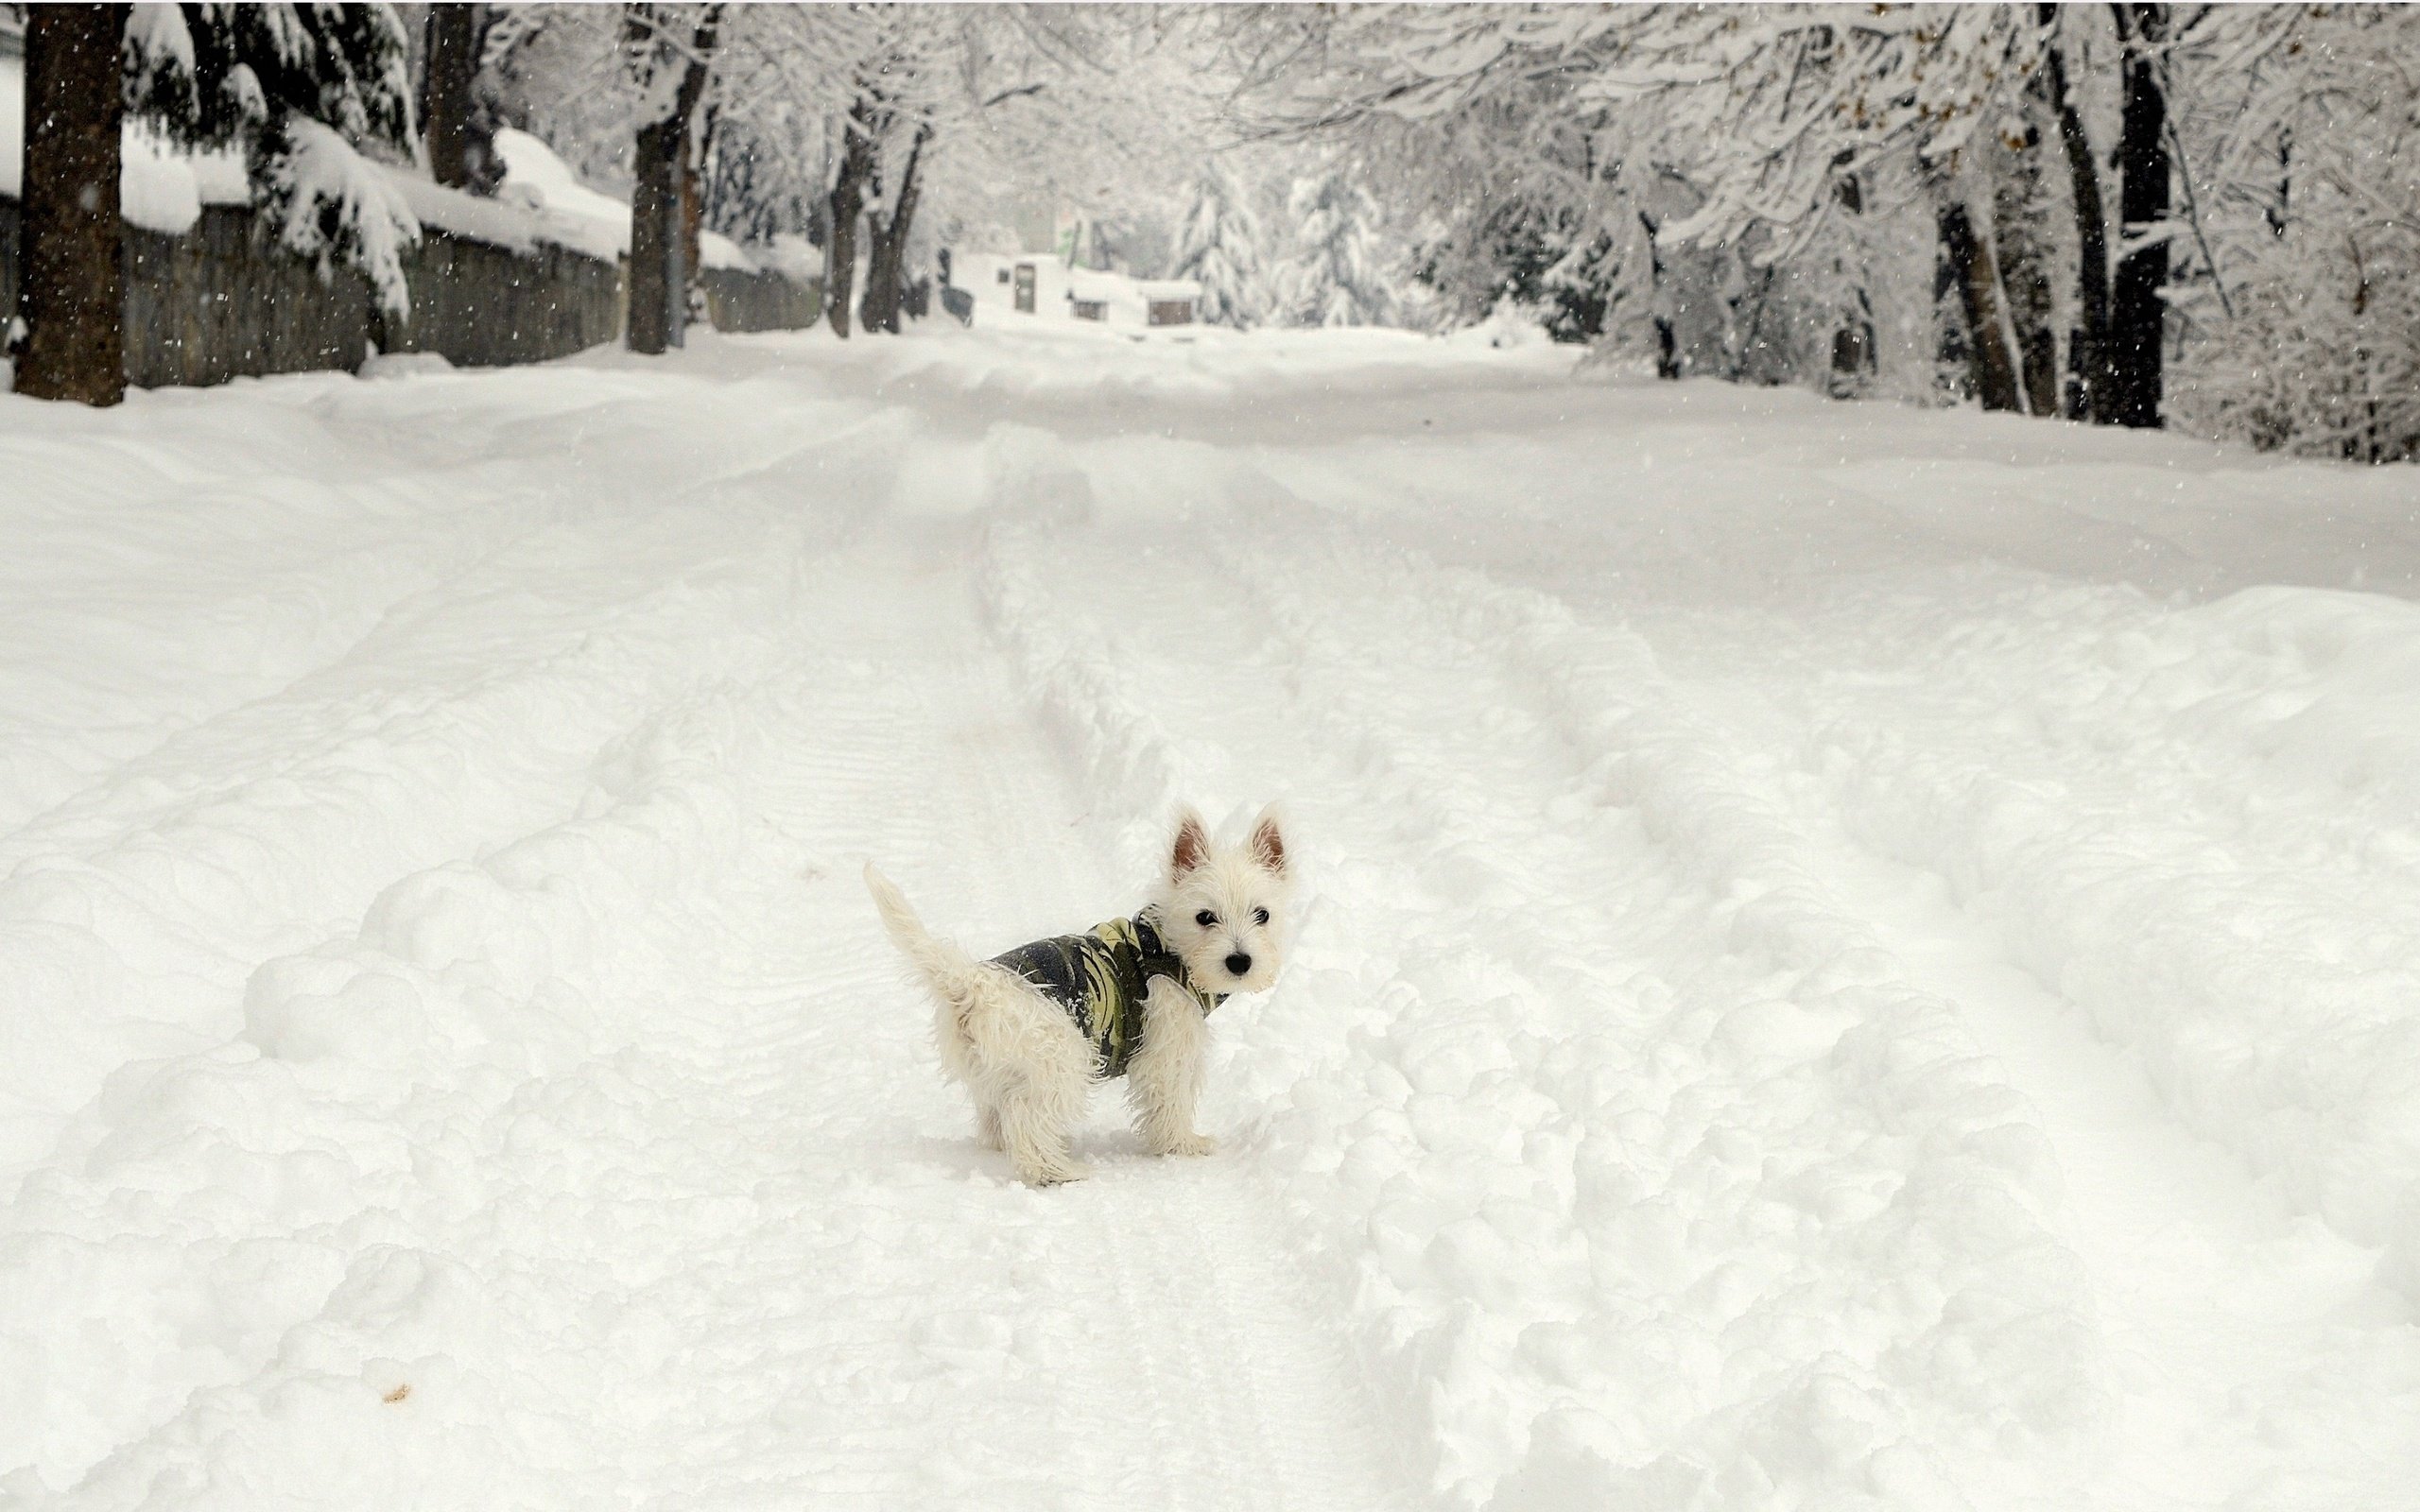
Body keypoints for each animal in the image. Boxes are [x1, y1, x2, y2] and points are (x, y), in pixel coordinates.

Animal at [866, 808, 1297, 1185]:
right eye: (1205, 916)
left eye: (1262, 915)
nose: (1239, 961)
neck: (1169, 947)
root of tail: (971, 983)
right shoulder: (1167, 1047)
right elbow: (1171, 1098)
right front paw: (1183, 1145)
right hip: (1061, 1056)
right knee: (1025, 1116)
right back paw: (1057, 1171)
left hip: (1000, 1069)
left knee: (998, 1117)